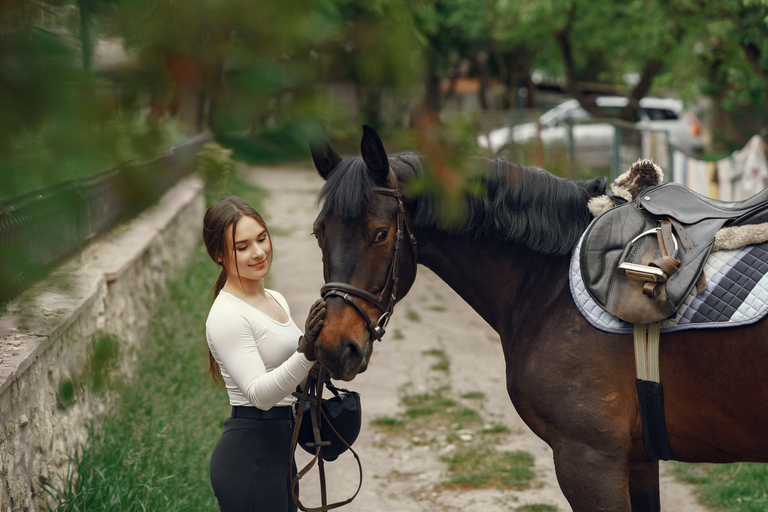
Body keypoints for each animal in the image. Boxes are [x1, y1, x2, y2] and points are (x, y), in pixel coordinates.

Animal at [308, 125, 768, 511]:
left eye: (380, 233)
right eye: (318, 232)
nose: (334, 347)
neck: (550, 284)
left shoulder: (589, 460)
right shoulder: (636, 459)